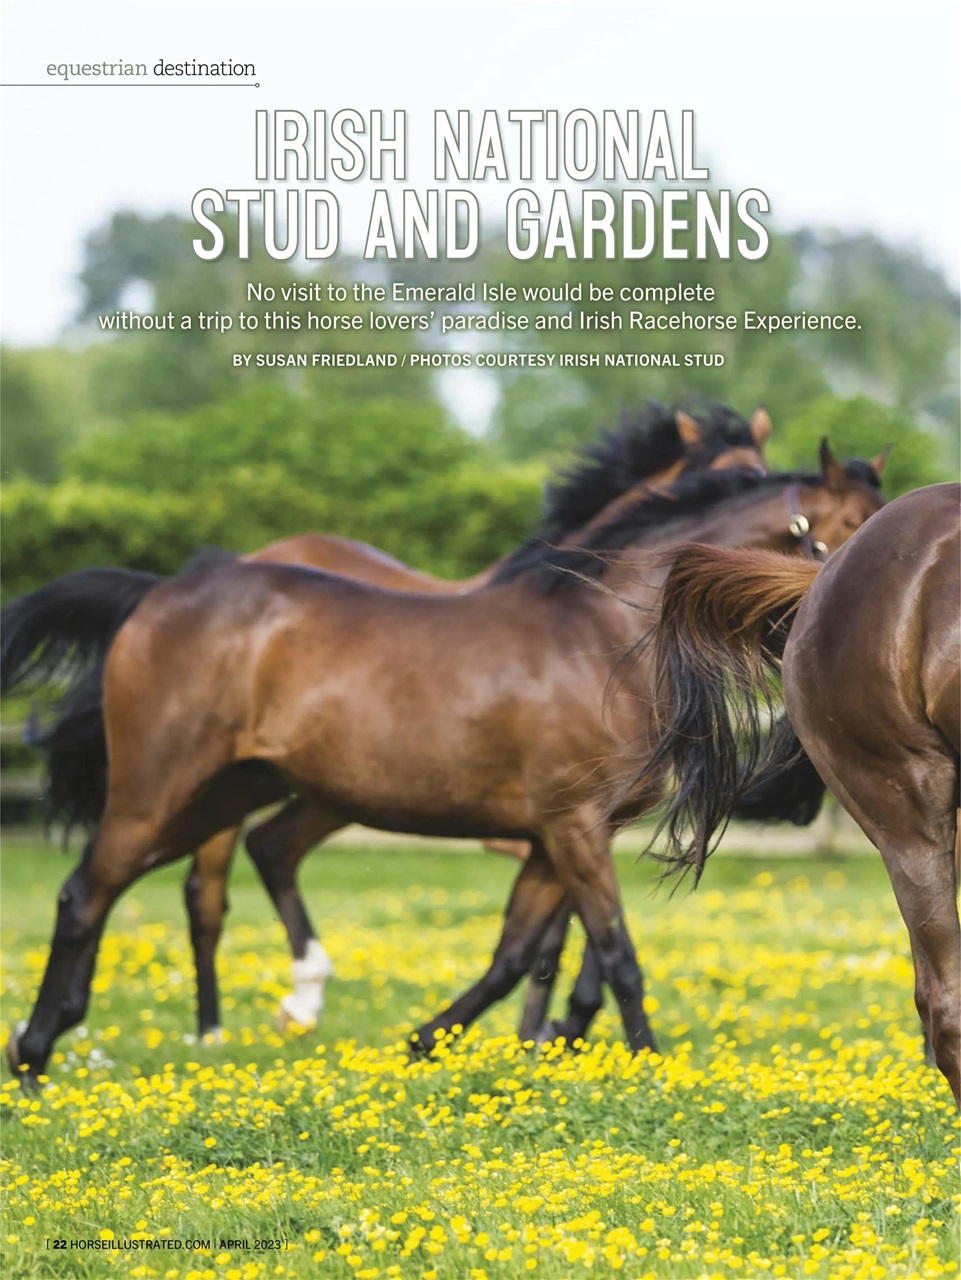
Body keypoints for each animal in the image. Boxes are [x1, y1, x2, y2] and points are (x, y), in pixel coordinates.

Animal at [4, 448, 886, 1085]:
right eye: (844, 528)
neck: (601, 636)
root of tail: (159, 594)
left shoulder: (554, 838)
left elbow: (516, 958)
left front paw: (429, 1042)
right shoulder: (573, 827)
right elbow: (615, 956)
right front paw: (649, 1069)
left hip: (225, 793)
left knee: (155, 881)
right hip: (157, 790)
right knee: (90, 893)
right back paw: (37, 1055)